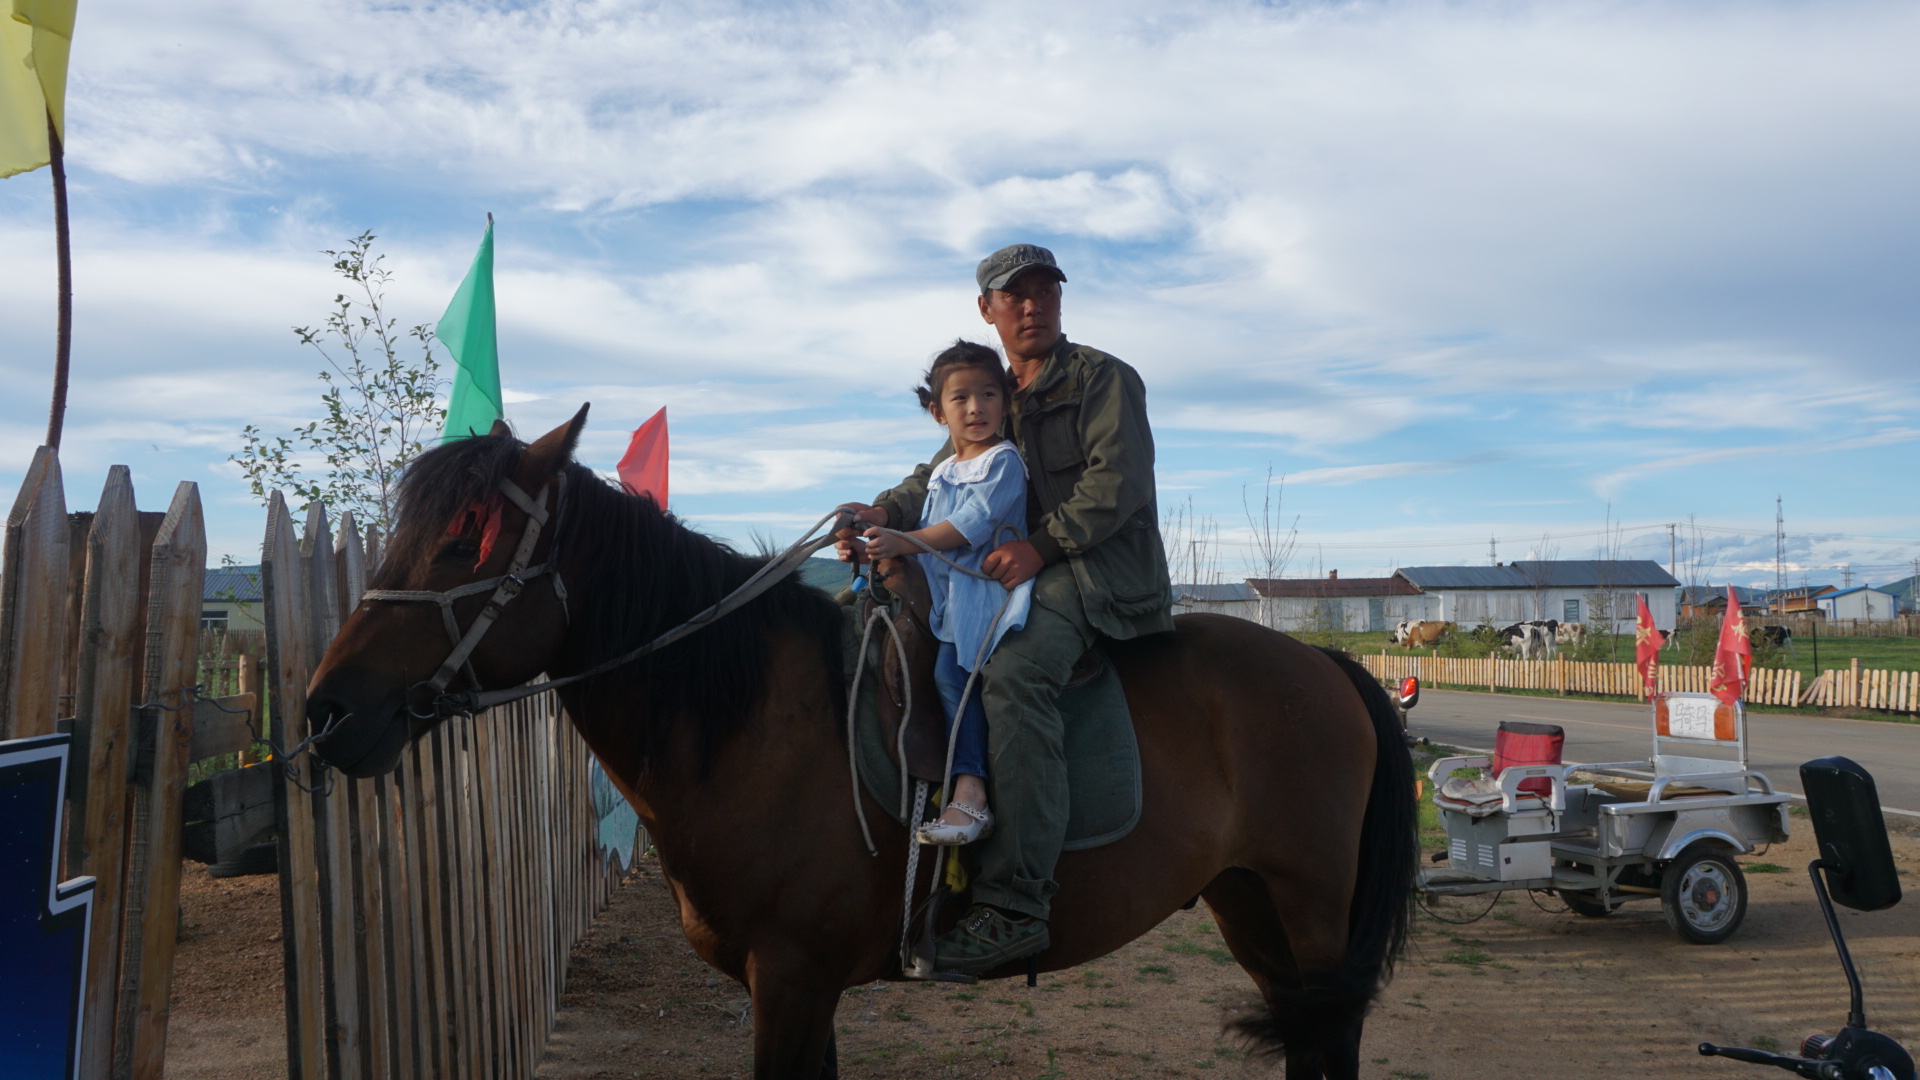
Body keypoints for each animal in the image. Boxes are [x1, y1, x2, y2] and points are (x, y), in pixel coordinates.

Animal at [299, 407, 1413, 1068]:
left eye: (465, 541)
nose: (328, 712)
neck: (752, 723)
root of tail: (1327, 666)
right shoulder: (801, 989)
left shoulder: (791, 980)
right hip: (1252, 906)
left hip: (1312, 907)